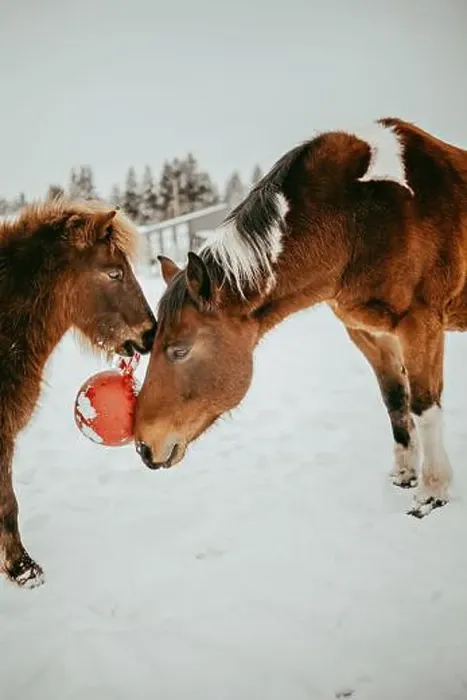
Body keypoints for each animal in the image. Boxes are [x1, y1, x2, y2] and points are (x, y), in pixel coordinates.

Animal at [133, 116, 467, 520]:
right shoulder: (367, 333)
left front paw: (432, 492)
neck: (358, 218)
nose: (143, 446)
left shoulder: (421, 325)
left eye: (180, 350)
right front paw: (404, 473)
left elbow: (423, 405)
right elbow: (394, 401)